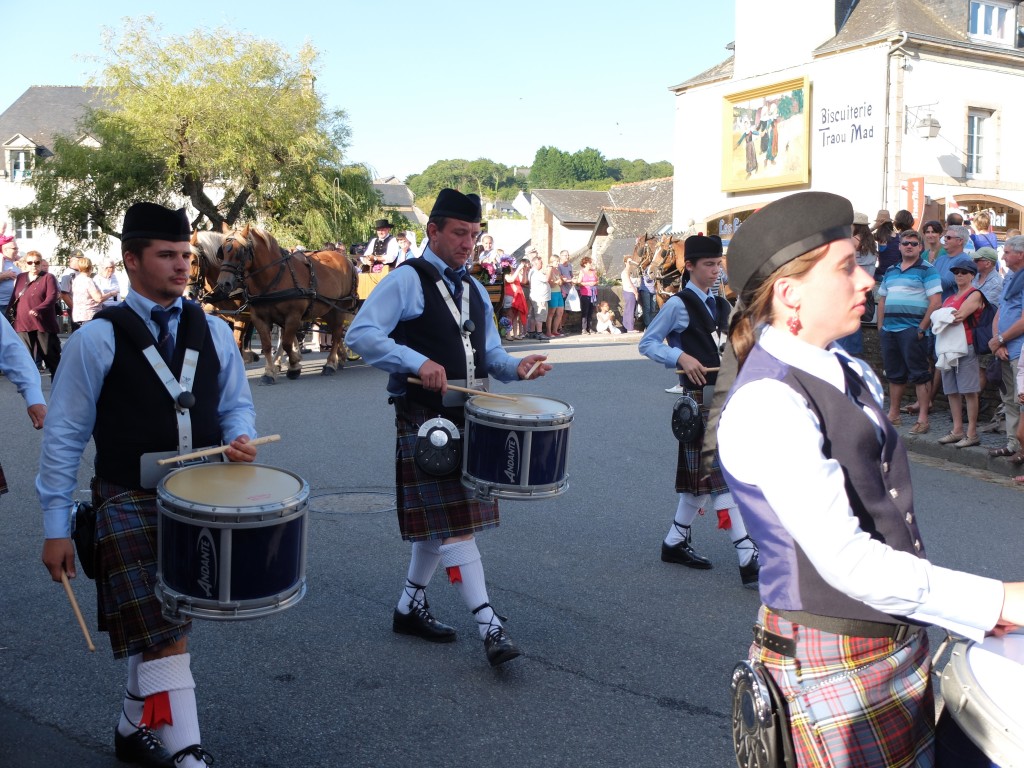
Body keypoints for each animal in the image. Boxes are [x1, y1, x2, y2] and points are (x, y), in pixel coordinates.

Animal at [211, 227, 360, 385]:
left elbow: (287, 343)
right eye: (222, 251)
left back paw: (330, 364)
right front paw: (269, 372)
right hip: (327, 310)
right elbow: (267, 345)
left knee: (337, 334)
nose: (223, 283)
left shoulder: (293, 316)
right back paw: (340, 358)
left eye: (241, 251)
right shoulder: (260, 318)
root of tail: (347, 260)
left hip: (338, 308)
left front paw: (294, 366)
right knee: (335, 332)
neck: (273, 276)